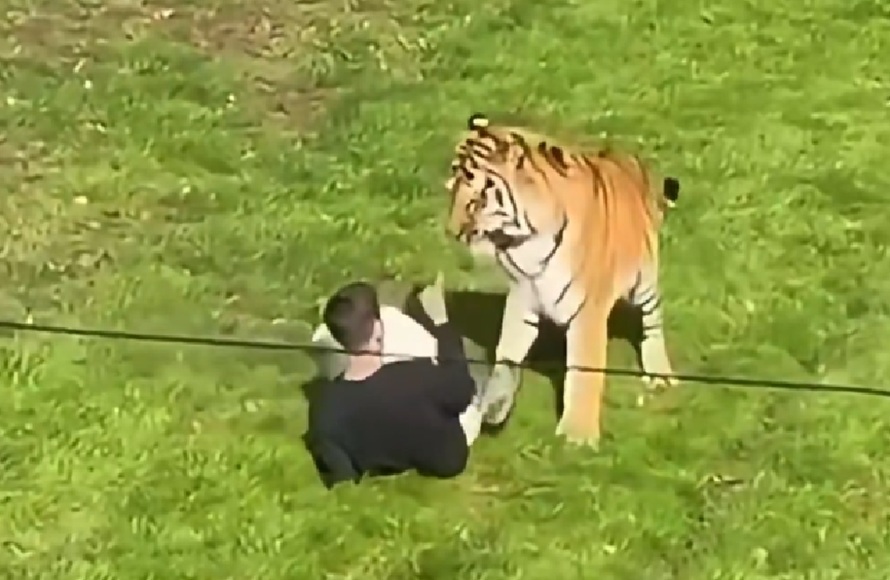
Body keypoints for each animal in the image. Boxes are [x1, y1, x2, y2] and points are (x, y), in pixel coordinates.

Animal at [443, 113, 680, 447]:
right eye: (452, 191)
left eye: (476, 200)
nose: (452, 232)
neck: (523, 242)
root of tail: (631, 160)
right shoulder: (521, 299)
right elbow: (506, 357)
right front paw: (494, 407)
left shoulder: (588, 311)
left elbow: (582, 372)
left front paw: (577, 436)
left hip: (642, 282)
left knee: (653, 322)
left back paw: (660, 375)